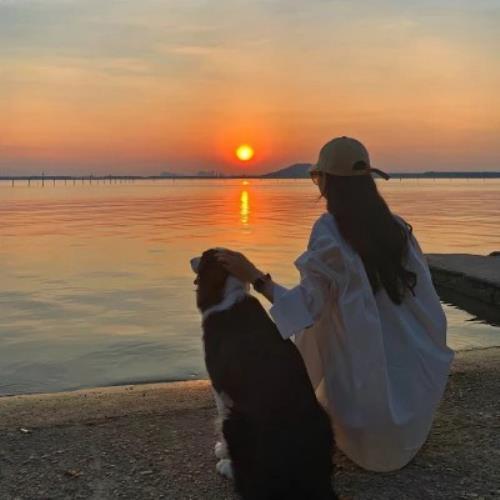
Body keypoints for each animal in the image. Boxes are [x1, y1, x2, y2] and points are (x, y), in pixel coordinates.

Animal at [190, 250, 336, 500]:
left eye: (204, 256)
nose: (191, 259)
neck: (228, 292)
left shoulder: (220, 386)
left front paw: (223, 452)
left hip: (236, 421)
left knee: (249, 483)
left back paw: (227, 468)